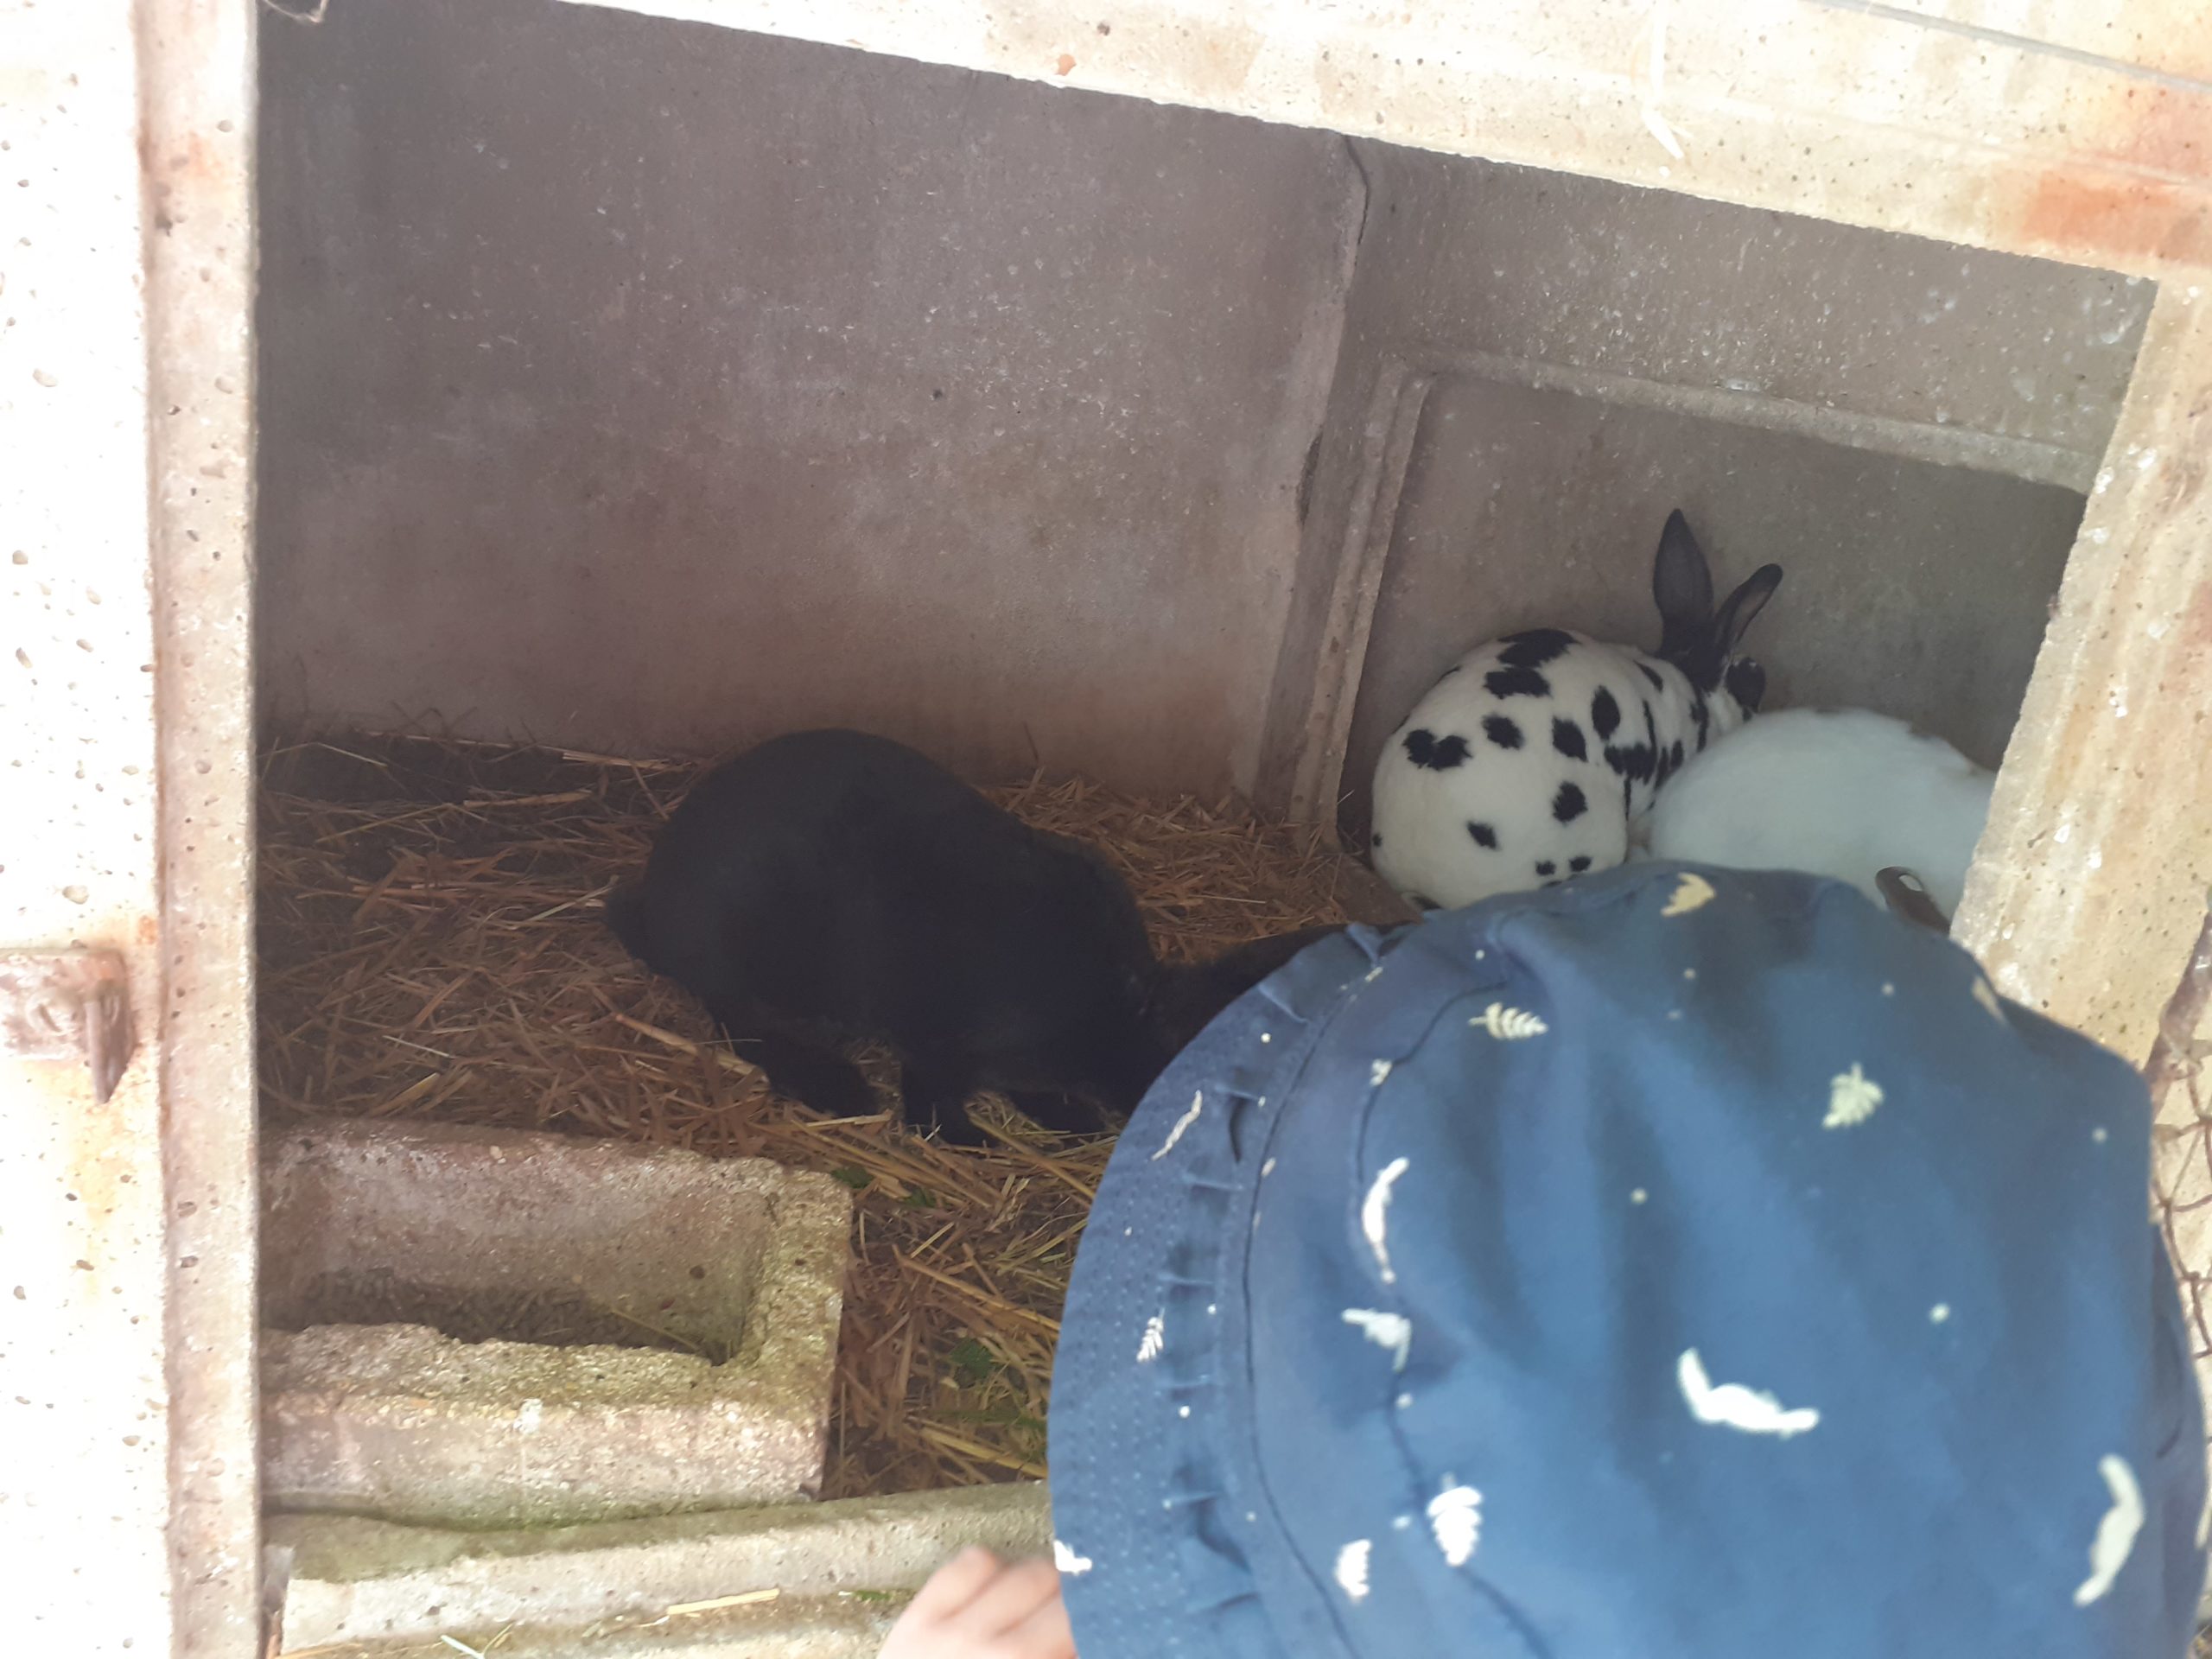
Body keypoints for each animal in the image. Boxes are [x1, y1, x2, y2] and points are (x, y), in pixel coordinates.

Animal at [607, 728, 1341, 1146]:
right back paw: (840, 1087)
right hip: (751, 963)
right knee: (743, 1028)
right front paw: (976, 1140)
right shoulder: (941, 1042)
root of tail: (654, 895)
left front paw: (1069, 1119)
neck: (1117, 1018)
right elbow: (933, 1100)